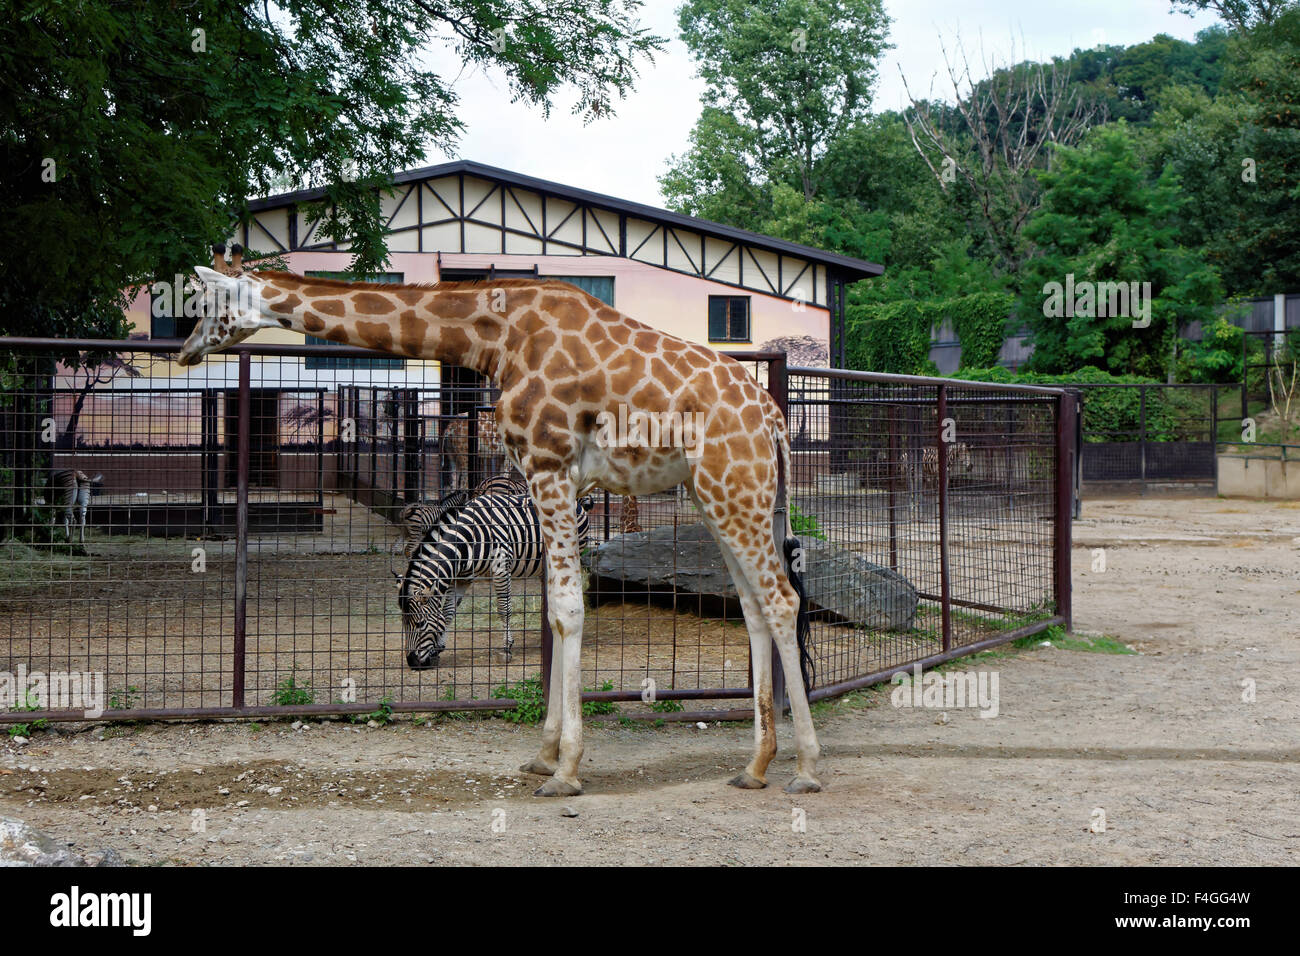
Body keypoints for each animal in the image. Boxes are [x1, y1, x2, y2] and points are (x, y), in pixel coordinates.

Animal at [397, 494, 595, 665]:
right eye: (403, 623)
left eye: (420, 623)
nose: (412, 662)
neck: (467, 541)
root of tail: (578, 501)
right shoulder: (460, 579)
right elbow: (447, 613)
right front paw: (438, 648)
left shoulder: (500, 569)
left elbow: (504, 609)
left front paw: (506, 648)